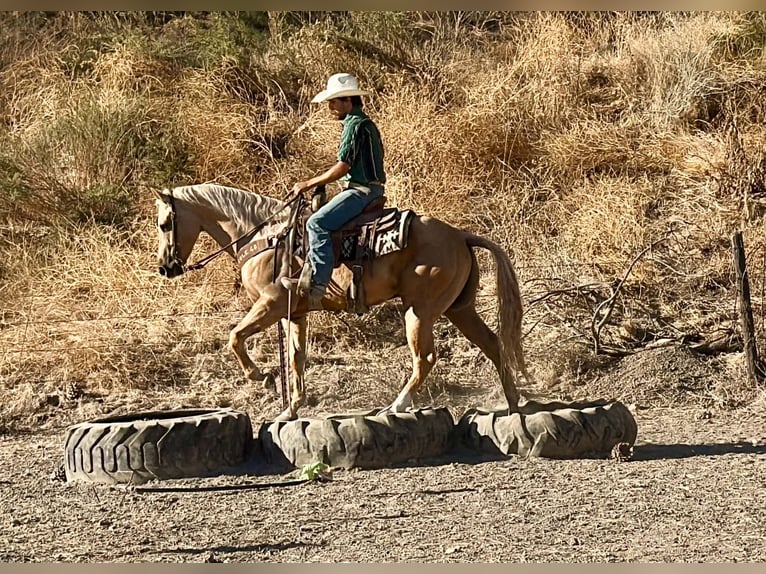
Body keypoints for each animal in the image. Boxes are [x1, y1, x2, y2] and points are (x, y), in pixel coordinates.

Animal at [154, 183, 530, 421]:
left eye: (164, 223)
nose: (165, 267)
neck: (265, 237)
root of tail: (460, 235)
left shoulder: (270, 304)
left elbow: (235, 337)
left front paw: (261, 377)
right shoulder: (294, 314)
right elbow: (296, 357)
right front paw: (291, 408)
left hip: (420, 312)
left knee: (425, 358)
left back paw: (396, 405)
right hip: (458, 310)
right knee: (494, 344)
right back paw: (514, 403)